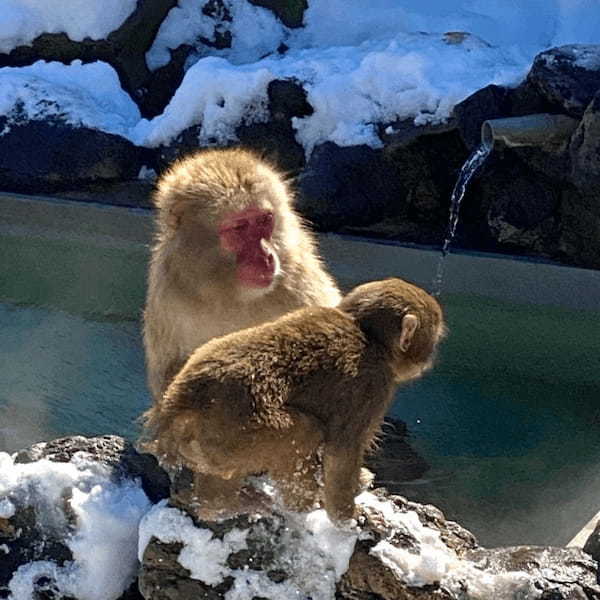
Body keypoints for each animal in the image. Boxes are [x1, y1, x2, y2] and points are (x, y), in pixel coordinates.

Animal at [140, 147, 338, 400]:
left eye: (264, 220)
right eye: (240, 227)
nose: (265, 256)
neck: (233, 296)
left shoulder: (301, 281)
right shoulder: (169, 299)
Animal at [143, 278, 446, 524]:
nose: (430, 358)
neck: (366, 332)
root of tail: (180, 404)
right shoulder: (373, 386)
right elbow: (341, 453)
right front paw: (347, 517)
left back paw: (215, 507)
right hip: (238, 433)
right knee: (305, 433)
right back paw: (295, 504)